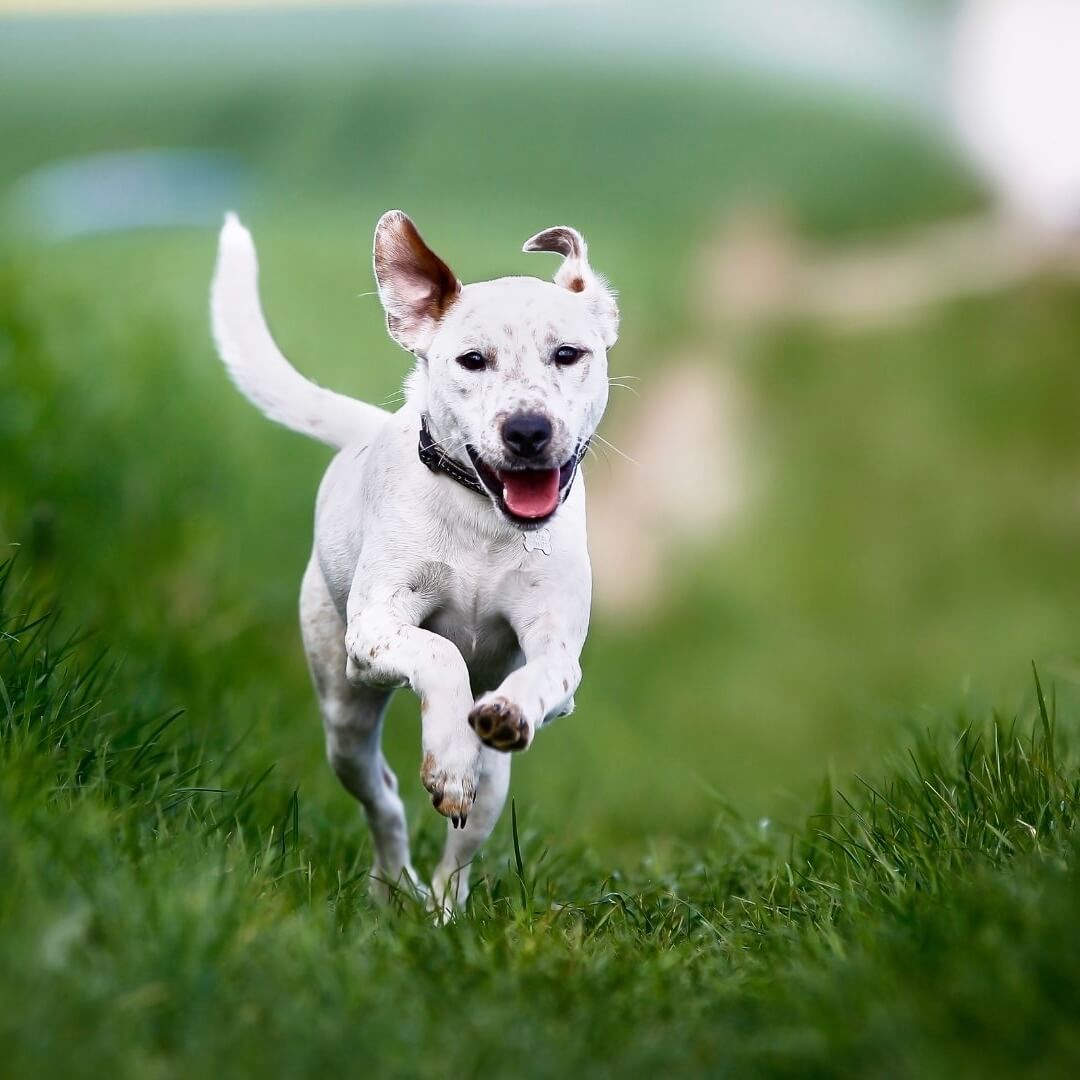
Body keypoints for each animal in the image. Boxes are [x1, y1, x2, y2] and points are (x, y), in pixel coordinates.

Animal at [210, 208, 617, 911]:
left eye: (568, 354)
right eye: (472, 360)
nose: (528, 430)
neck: (485, 517)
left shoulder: (556, 648)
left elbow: (546, 675)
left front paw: (505, 714)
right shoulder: (376, 630)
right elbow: (441, 651)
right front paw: (447, 757)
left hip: (495, 789)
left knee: (461, 848)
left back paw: (443, 910)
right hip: (344, 719)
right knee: (386, 800)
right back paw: (395, 886)